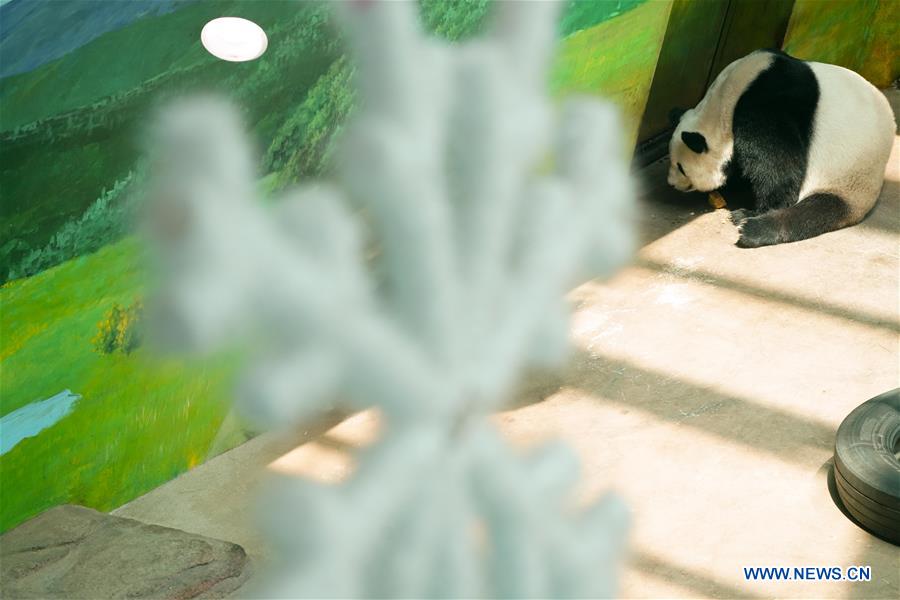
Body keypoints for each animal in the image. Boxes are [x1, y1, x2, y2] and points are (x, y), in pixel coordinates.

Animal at [668, 49, 895, 248]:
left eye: (681, 168)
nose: (671, 184)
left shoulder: (764, 107)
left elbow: (778, 169)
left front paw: (754, 209)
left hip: (847, 177)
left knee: (813, 213)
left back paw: (751, 227)